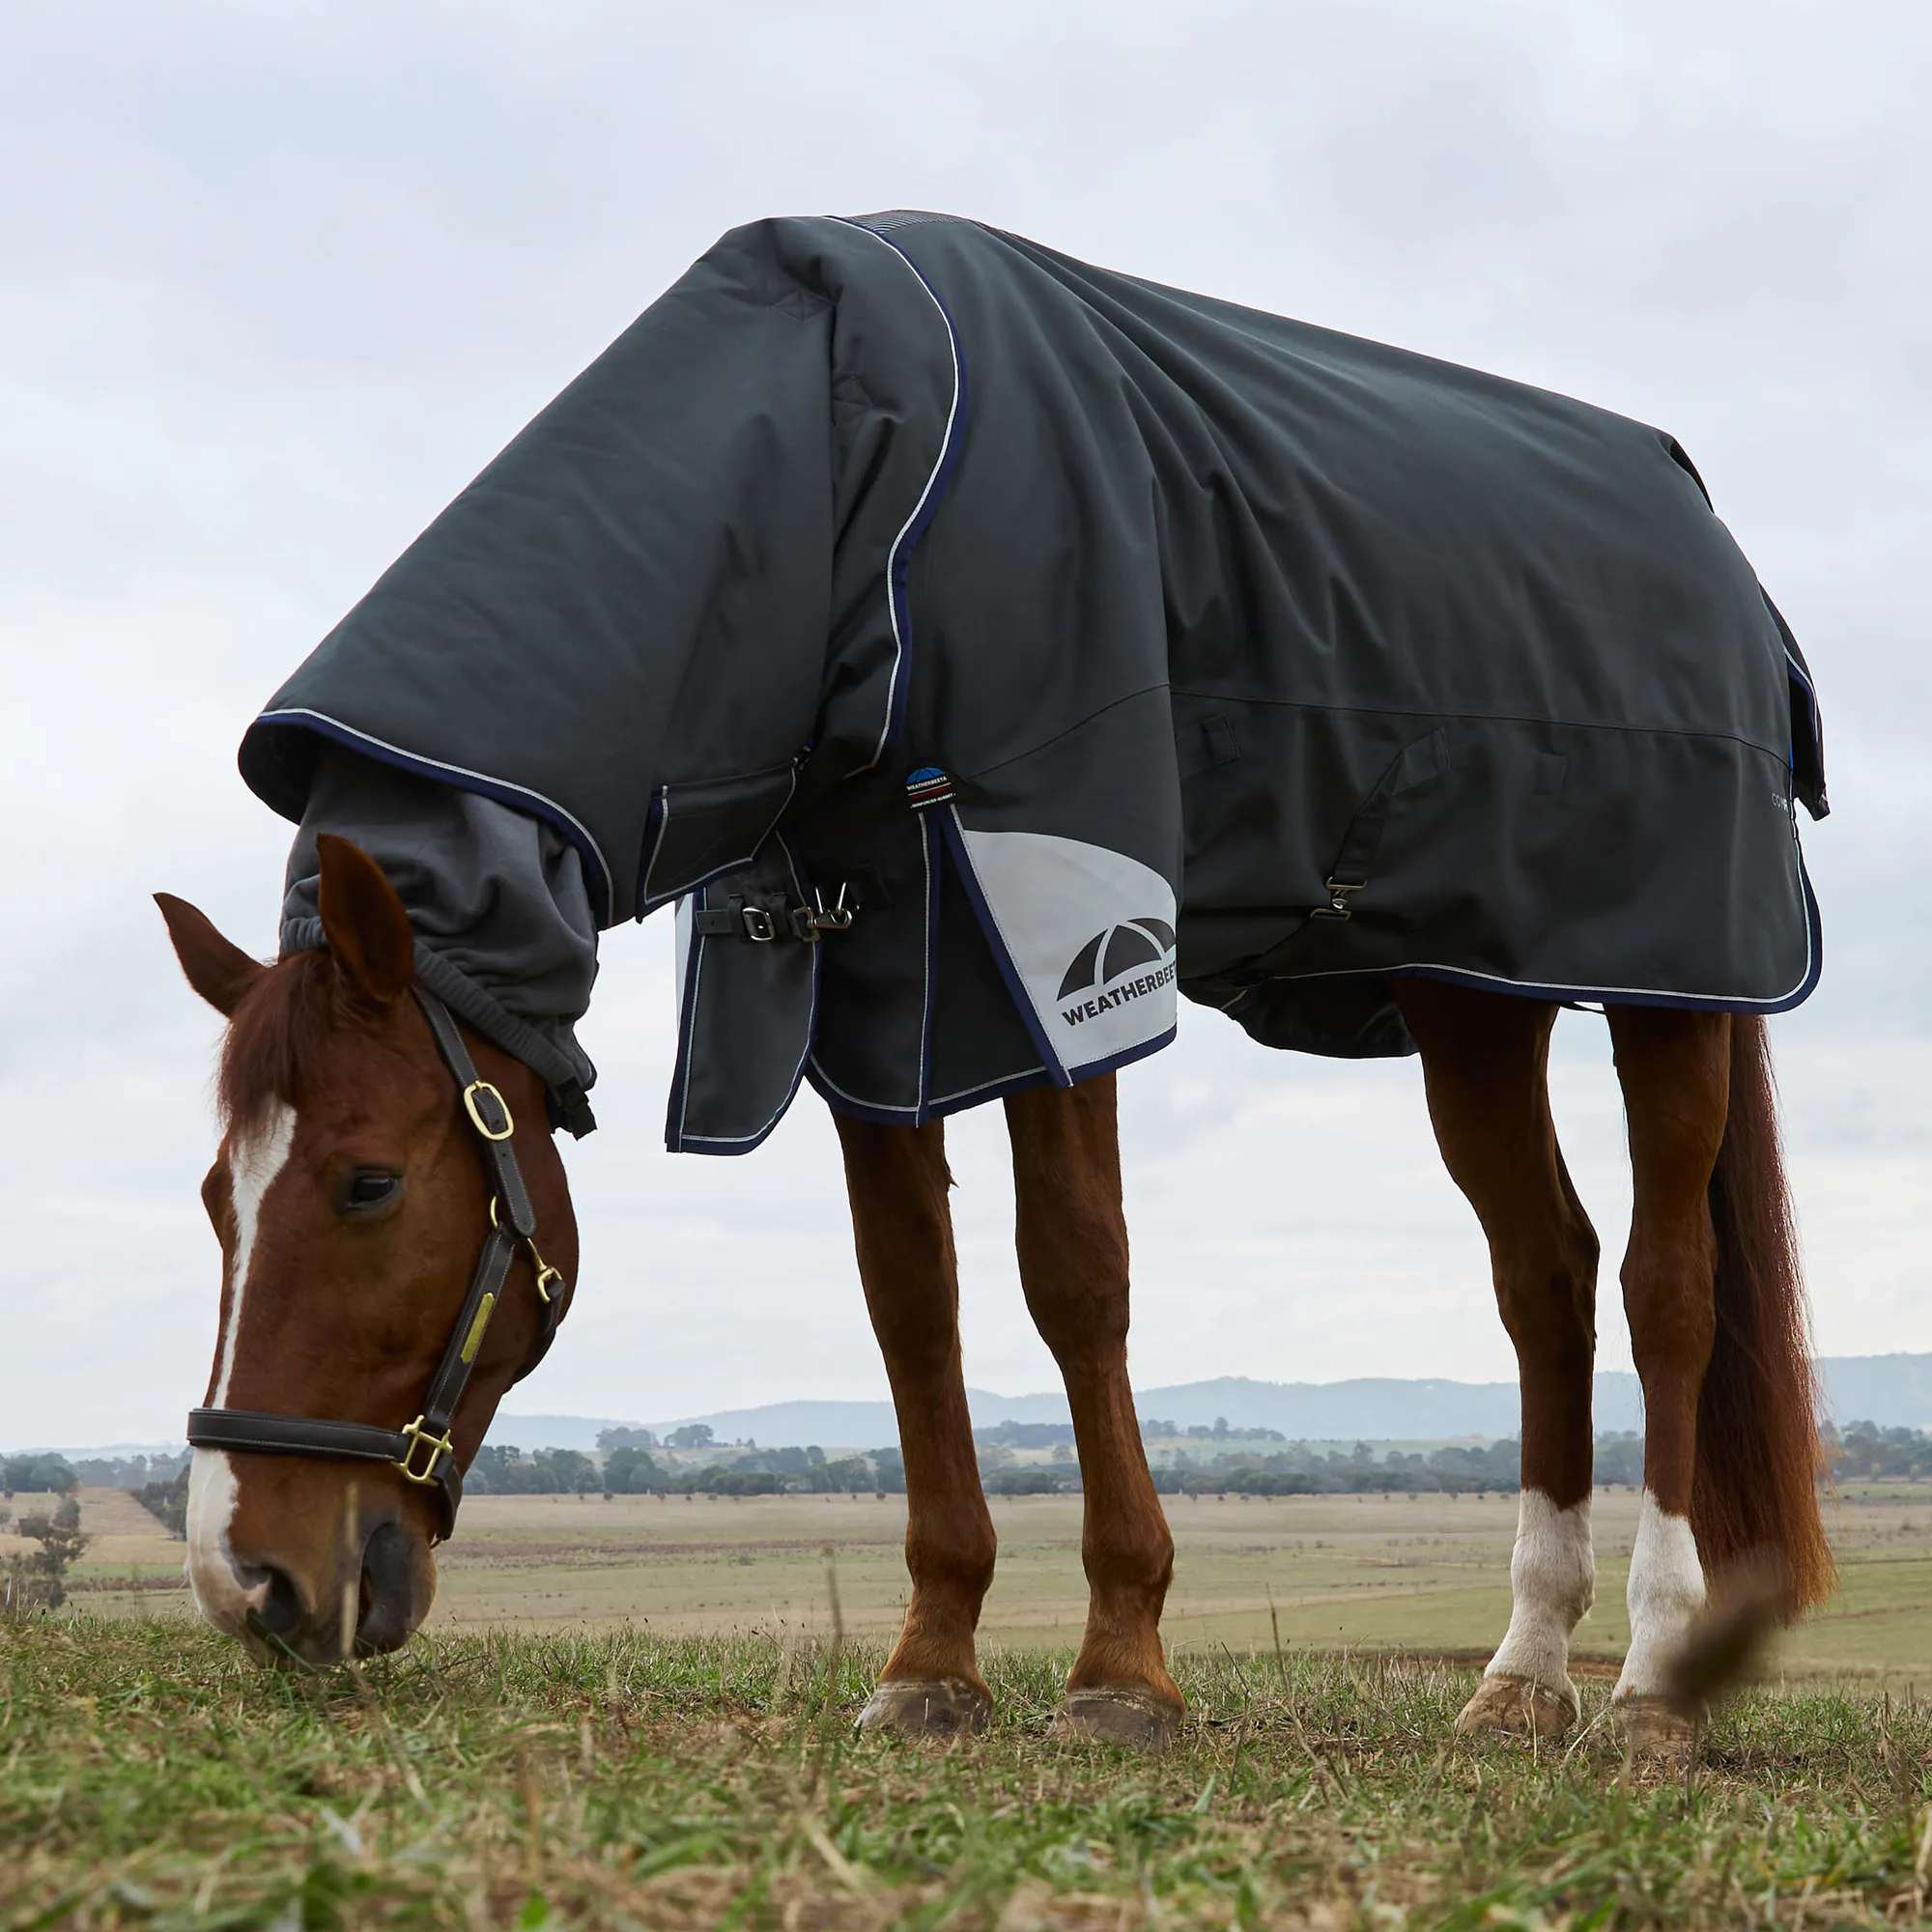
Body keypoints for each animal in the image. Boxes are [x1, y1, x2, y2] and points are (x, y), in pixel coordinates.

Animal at [157, 833, 1829, 1751]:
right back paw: (1524, 1675)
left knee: (1668, 1286)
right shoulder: (884, 998)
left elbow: (1074, 1276)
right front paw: (930, 1662)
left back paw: (1654, 1683)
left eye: (366, 1182)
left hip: (1669, 993)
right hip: (1474, 1001)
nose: (249, 1583)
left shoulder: (1051, 973)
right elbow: (914, 1298)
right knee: (1545, 1275)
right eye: (214, 1198)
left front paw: (1122, 1665)